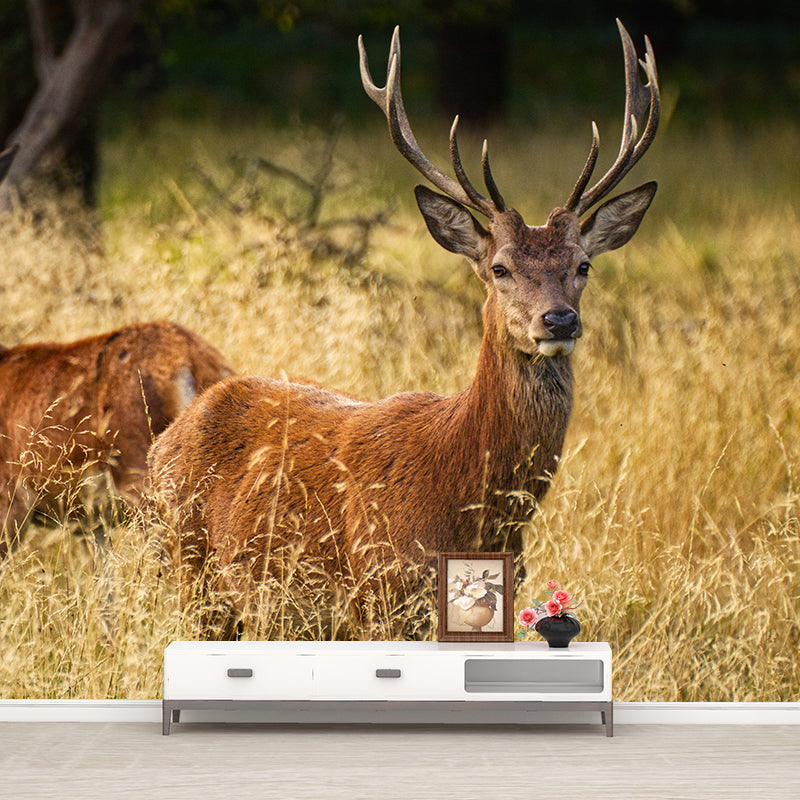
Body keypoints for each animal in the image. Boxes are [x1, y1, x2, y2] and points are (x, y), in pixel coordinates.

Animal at [147, 20, 660, 638]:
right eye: (500, 267)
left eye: (583, 265)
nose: (558, 318)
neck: (470, 511)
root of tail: (167, 437)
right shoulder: (379, 592)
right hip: (190, 570)